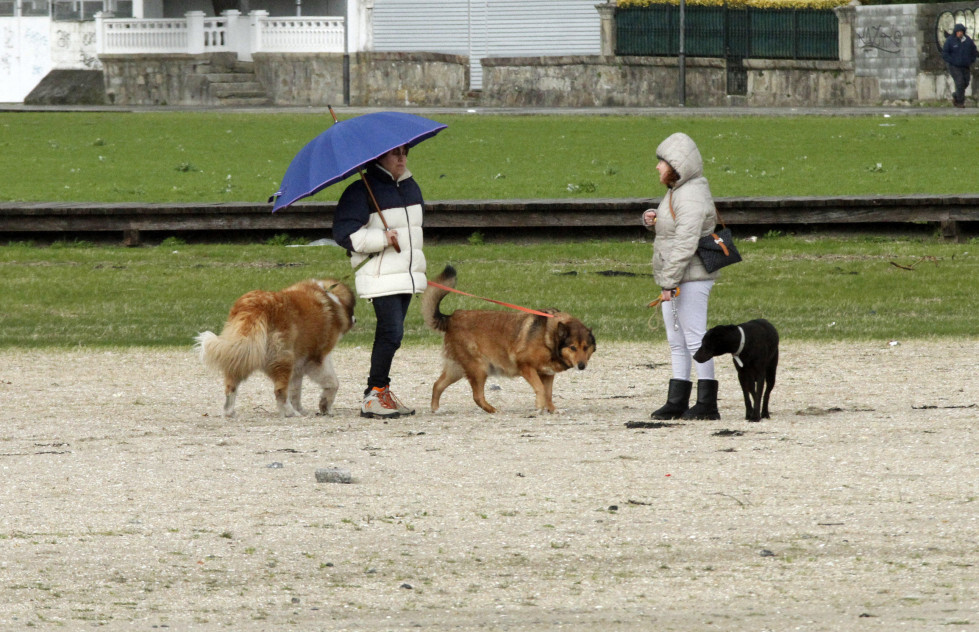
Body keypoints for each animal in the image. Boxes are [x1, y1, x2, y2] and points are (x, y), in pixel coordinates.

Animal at [195, 278, 356, 418]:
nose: (355, 320)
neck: (330, 296)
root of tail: (255, 307)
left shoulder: (299, 366)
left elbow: (296, 391)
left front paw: (301, 408)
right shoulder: (317, 358)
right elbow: (333, 383)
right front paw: (324, 406)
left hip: (240, 353)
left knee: (231, 386)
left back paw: (229, 411)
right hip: (282, 358)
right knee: (280, 391)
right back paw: (290, 413)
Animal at [424, 262, 596, 414]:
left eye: (586, 347)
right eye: (573, 347)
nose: (582, 366)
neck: (549, 337)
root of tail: (452, 317)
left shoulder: (547, 374)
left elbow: (548, 393)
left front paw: (552, 409)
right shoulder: (526, 366)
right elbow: (540, 389)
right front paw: (539, 407)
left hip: (457, 369)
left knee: (437, 385)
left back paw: (436, 409)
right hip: (479, 368)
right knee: (477, 396)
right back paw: (493, 410)